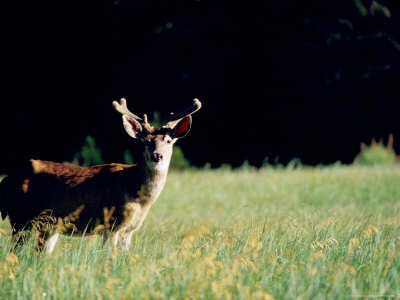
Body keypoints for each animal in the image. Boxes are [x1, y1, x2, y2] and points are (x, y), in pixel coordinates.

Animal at [0, 98, 202, 253]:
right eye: (146, 141)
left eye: (168, 140)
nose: (157, 156)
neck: (138, 196)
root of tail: (6, 180)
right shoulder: (111, 223)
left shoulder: (129, 230)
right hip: (20, 217)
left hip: (47, 226)